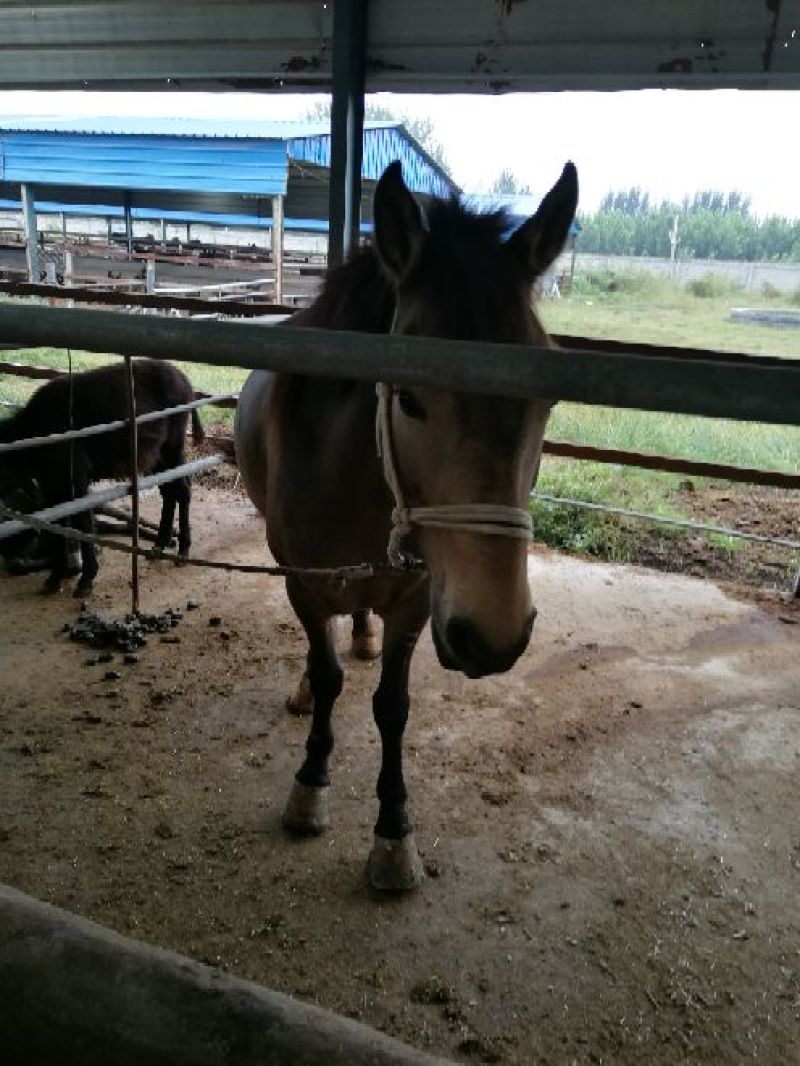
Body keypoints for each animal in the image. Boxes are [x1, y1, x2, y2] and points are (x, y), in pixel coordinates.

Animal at [0, 359, 203, 596]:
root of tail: (183, 378)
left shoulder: (75, 480)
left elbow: (83, 523)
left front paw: (86, 579)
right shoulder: (52, 486)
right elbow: (58, 524)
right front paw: (55, 578)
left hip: (173, 447)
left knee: (182, 490)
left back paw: (183, 550)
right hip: (157, 456)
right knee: (170, 492)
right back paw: (160, 544)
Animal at [235, 159, 578, 890]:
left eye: (547, 399)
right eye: (410, 397)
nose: (494, 636)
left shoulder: (418, 598)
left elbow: (392, 706)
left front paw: (393, 834)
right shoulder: (304, 584)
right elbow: (329, 677)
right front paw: (310, 785)